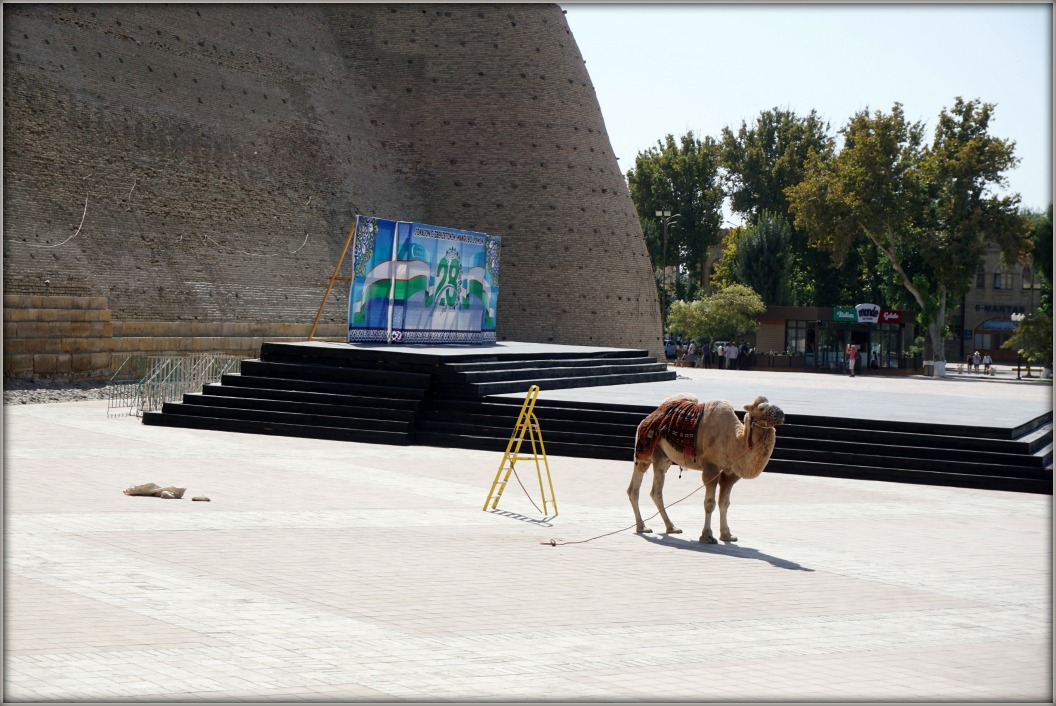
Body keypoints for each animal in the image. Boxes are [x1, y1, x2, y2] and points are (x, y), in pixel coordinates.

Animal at [625, 394, 785, 544]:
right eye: (762, 408)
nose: (782, 414)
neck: (734, 441)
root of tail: (650, 415)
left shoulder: (730, 473)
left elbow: (724, 503)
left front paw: (727, 535)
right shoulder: (711, 468)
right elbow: (709, 504)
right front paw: (707, 536)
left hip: (663, 457)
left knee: (655, 490)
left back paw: (671, 527)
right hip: (645, 449)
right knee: (638, 487)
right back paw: (643, 527)